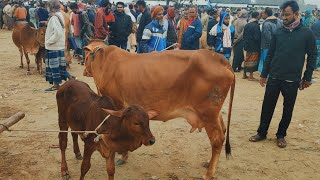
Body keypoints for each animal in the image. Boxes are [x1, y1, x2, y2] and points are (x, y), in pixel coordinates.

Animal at [83, 41, 235, 179]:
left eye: (85, 55)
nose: (84, 70)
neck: (104, 61)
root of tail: (219, 58)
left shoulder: (118, 104)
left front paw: (122, 155)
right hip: (213, 115)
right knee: (222, 131)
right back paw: (209, 164)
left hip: (208, 114)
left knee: (217, 140)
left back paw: (209, 174)